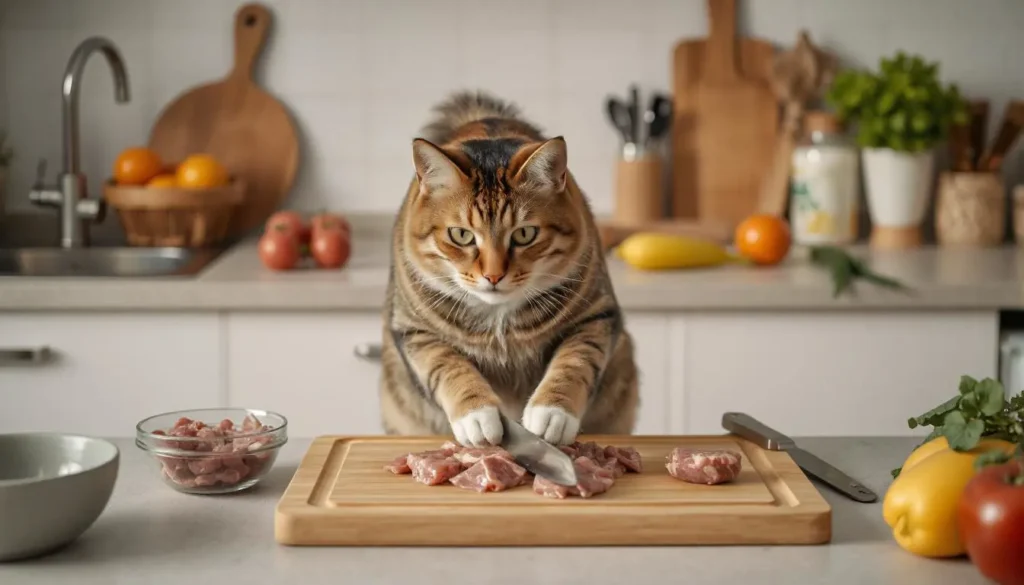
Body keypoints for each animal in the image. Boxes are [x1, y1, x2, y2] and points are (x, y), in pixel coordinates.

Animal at [380, 91, 634, 446]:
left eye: (525, 234)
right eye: (461, 235)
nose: (493, 275)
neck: (499, 324)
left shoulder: (597, 314)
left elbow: (575, 361)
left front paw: (551, 414)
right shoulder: (413, 330)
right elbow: (447, 366)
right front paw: (478, 417)